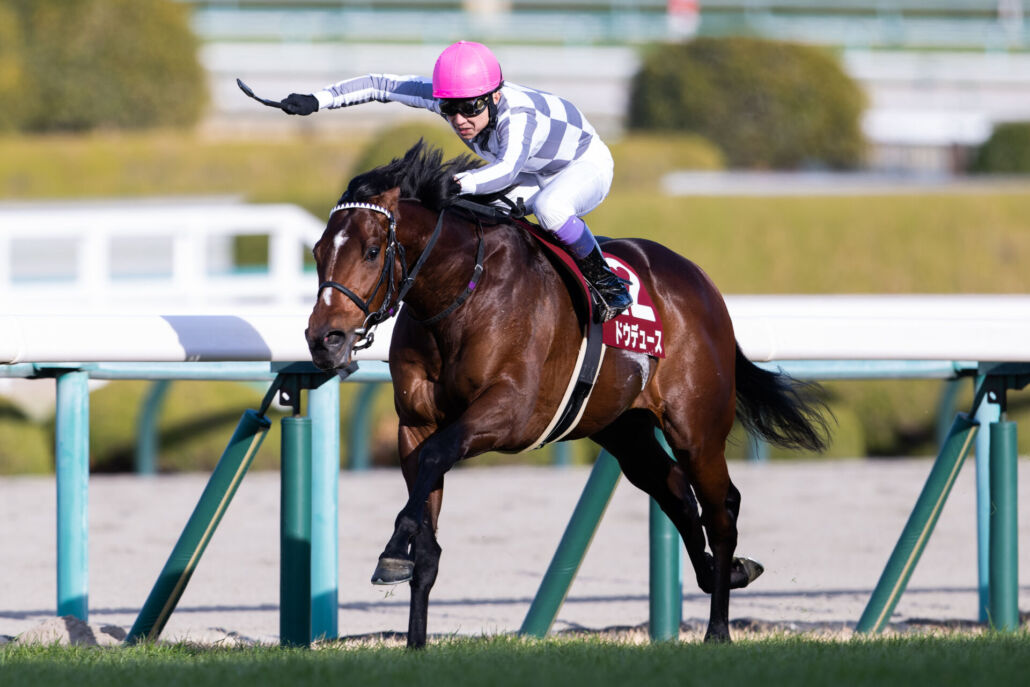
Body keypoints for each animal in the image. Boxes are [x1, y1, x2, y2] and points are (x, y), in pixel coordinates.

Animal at [305, 140, 829, 648]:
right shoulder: (414, 425)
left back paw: (718, 628)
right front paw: (415, 639)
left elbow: (436, 459)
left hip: (696, 427)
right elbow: (426, 540)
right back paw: (728, 572)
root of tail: (703, 283)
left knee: (721, 508)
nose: (324, 339)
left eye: (373, 250)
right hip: (624, 430)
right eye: (317, 251)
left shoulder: (511, 412)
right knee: (678, 492)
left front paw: (392, 553)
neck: (461, 294)